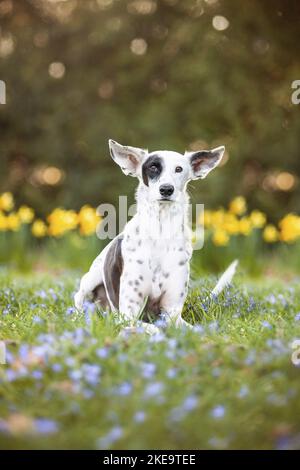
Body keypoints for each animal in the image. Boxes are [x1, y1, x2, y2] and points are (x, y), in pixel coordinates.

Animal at [74, 140, 237, 334]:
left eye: (179, 169)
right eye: (153, 167)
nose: (166, 189)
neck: (161, 231)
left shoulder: (173, 313)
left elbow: (193, 329)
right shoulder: (128, 313)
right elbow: (155, 330)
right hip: (90, 279)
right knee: (78, 299)